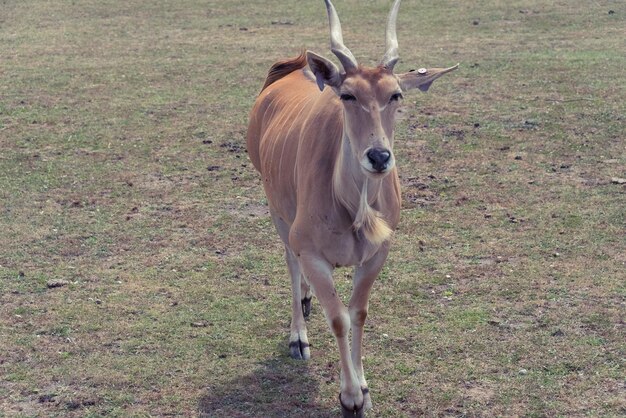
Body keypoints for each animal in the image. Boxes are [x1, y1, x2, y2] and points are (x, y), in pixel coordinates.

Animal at [246, 0, 456, 414]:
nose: (378, 156)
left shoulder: (377, 253)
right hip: (277, 210)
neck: (352, 208)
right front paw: (351, 397)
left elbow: (358, 312)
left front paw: (365, 388)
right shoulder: (312, 251)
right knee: (290, 261)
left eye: (396, 95)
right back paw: (298, 335)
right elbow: (339, 318)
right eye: (347, 95)